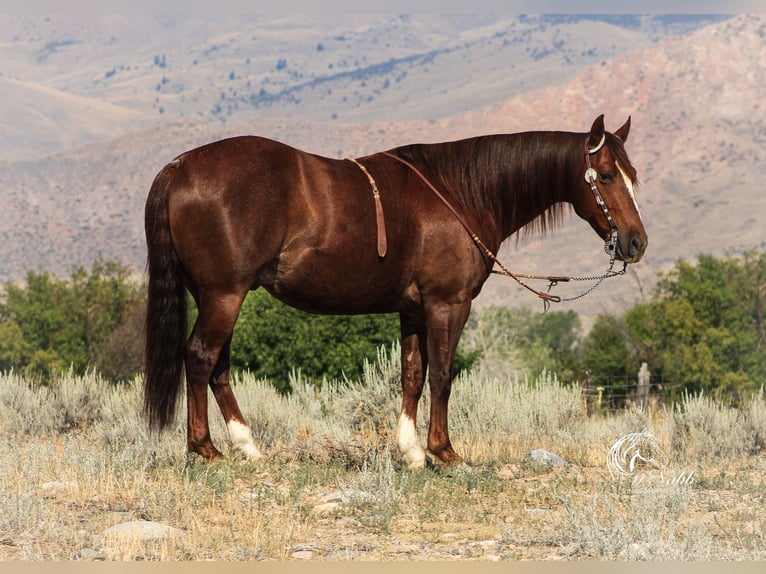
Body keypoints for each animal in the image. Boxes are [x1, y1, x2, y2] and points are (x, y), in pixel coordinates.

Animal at [144, 115, 648, 470]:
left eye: (633, 174)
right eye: (605, 175)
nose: (636, 242)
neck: (460, 192)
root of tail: (178, 167)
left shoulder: (413, 310)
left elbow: (412, 375)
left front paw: (411, 452)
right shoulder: (448, 304)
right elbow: (442, 374)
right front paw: (444, 452)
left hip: (216, 295)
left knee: (217, 367)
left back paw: (246, 446)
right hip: (224, 295)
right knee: (201, 357)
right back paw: (205, 449)